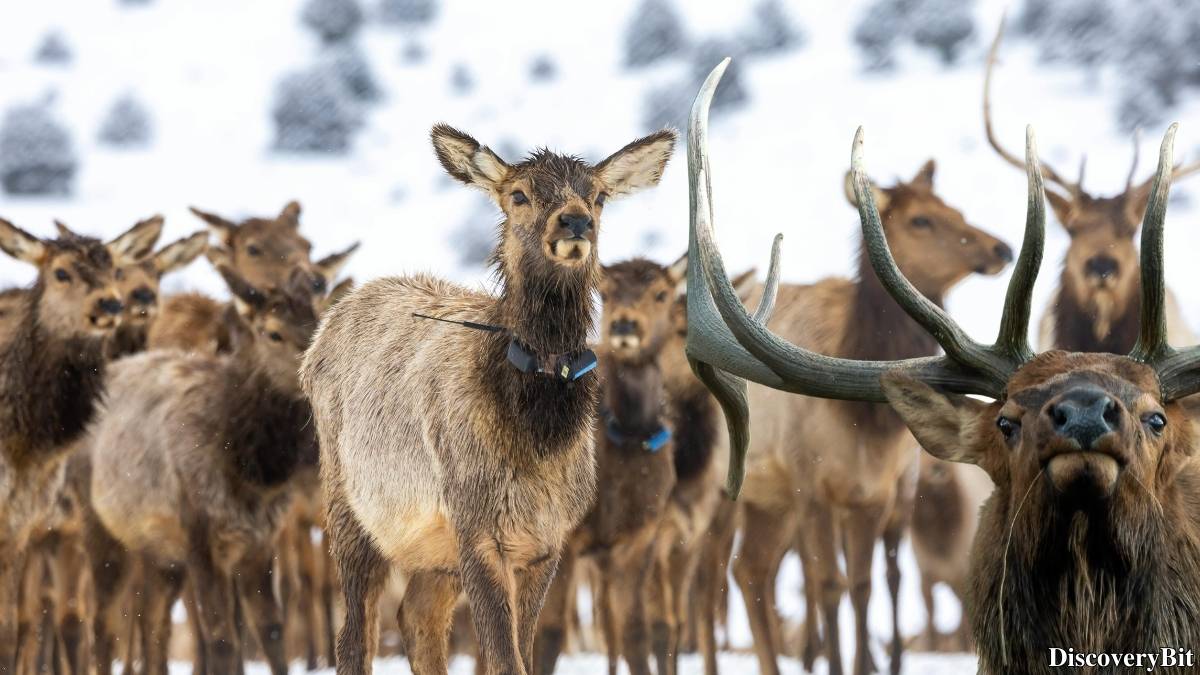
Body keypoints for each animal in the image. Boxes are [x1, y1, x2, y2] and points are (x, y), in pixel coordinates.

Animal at [86, 265, 319, 675]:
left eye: (317, 317)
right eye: (272, 331)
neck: (251, 474)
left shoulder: (259, 542)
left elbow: (271, 631)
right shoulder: (200, 539)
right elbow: (222, 639)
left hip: (160, 552)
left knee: (152, 620)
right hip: (104, 531)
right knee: (102, 623)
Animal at [300, 123, 675, 675]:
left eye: (599, 195)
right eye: (518, 194)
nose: (575, 221)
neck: (538, 435)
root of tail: (321, 333)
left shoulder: (546, 542)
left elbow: (526, 651)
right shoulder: (478, 526)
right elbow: (504, 658)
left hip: (434, 547)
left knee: (417, 617)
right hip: (350, 509)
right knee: (354, 635)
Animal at [687, 59, 1200, 675]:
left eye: (1157, 418)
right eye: (1005, 421)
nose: (1082, 415)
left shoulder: (880, 496)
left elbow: (867, 583)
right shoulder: (818, 487)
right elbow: (834, 584)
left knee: (755, 571)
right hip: (733, 492)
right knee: (728, 574)